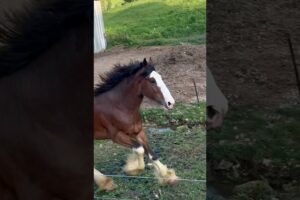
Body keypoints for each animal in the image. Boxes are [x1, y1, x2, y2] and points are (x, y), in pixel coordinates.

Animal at [94, 57, 178, 191]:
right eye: (152, 80)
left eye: (160, 77)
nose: (171, 103)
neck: (118, 106)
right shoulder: (116, 136)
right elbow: (139, 149)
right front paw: (132, 169)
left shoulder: (138, 131)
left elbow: (151, 154)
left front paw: (168, 177)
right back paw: (106, 182)